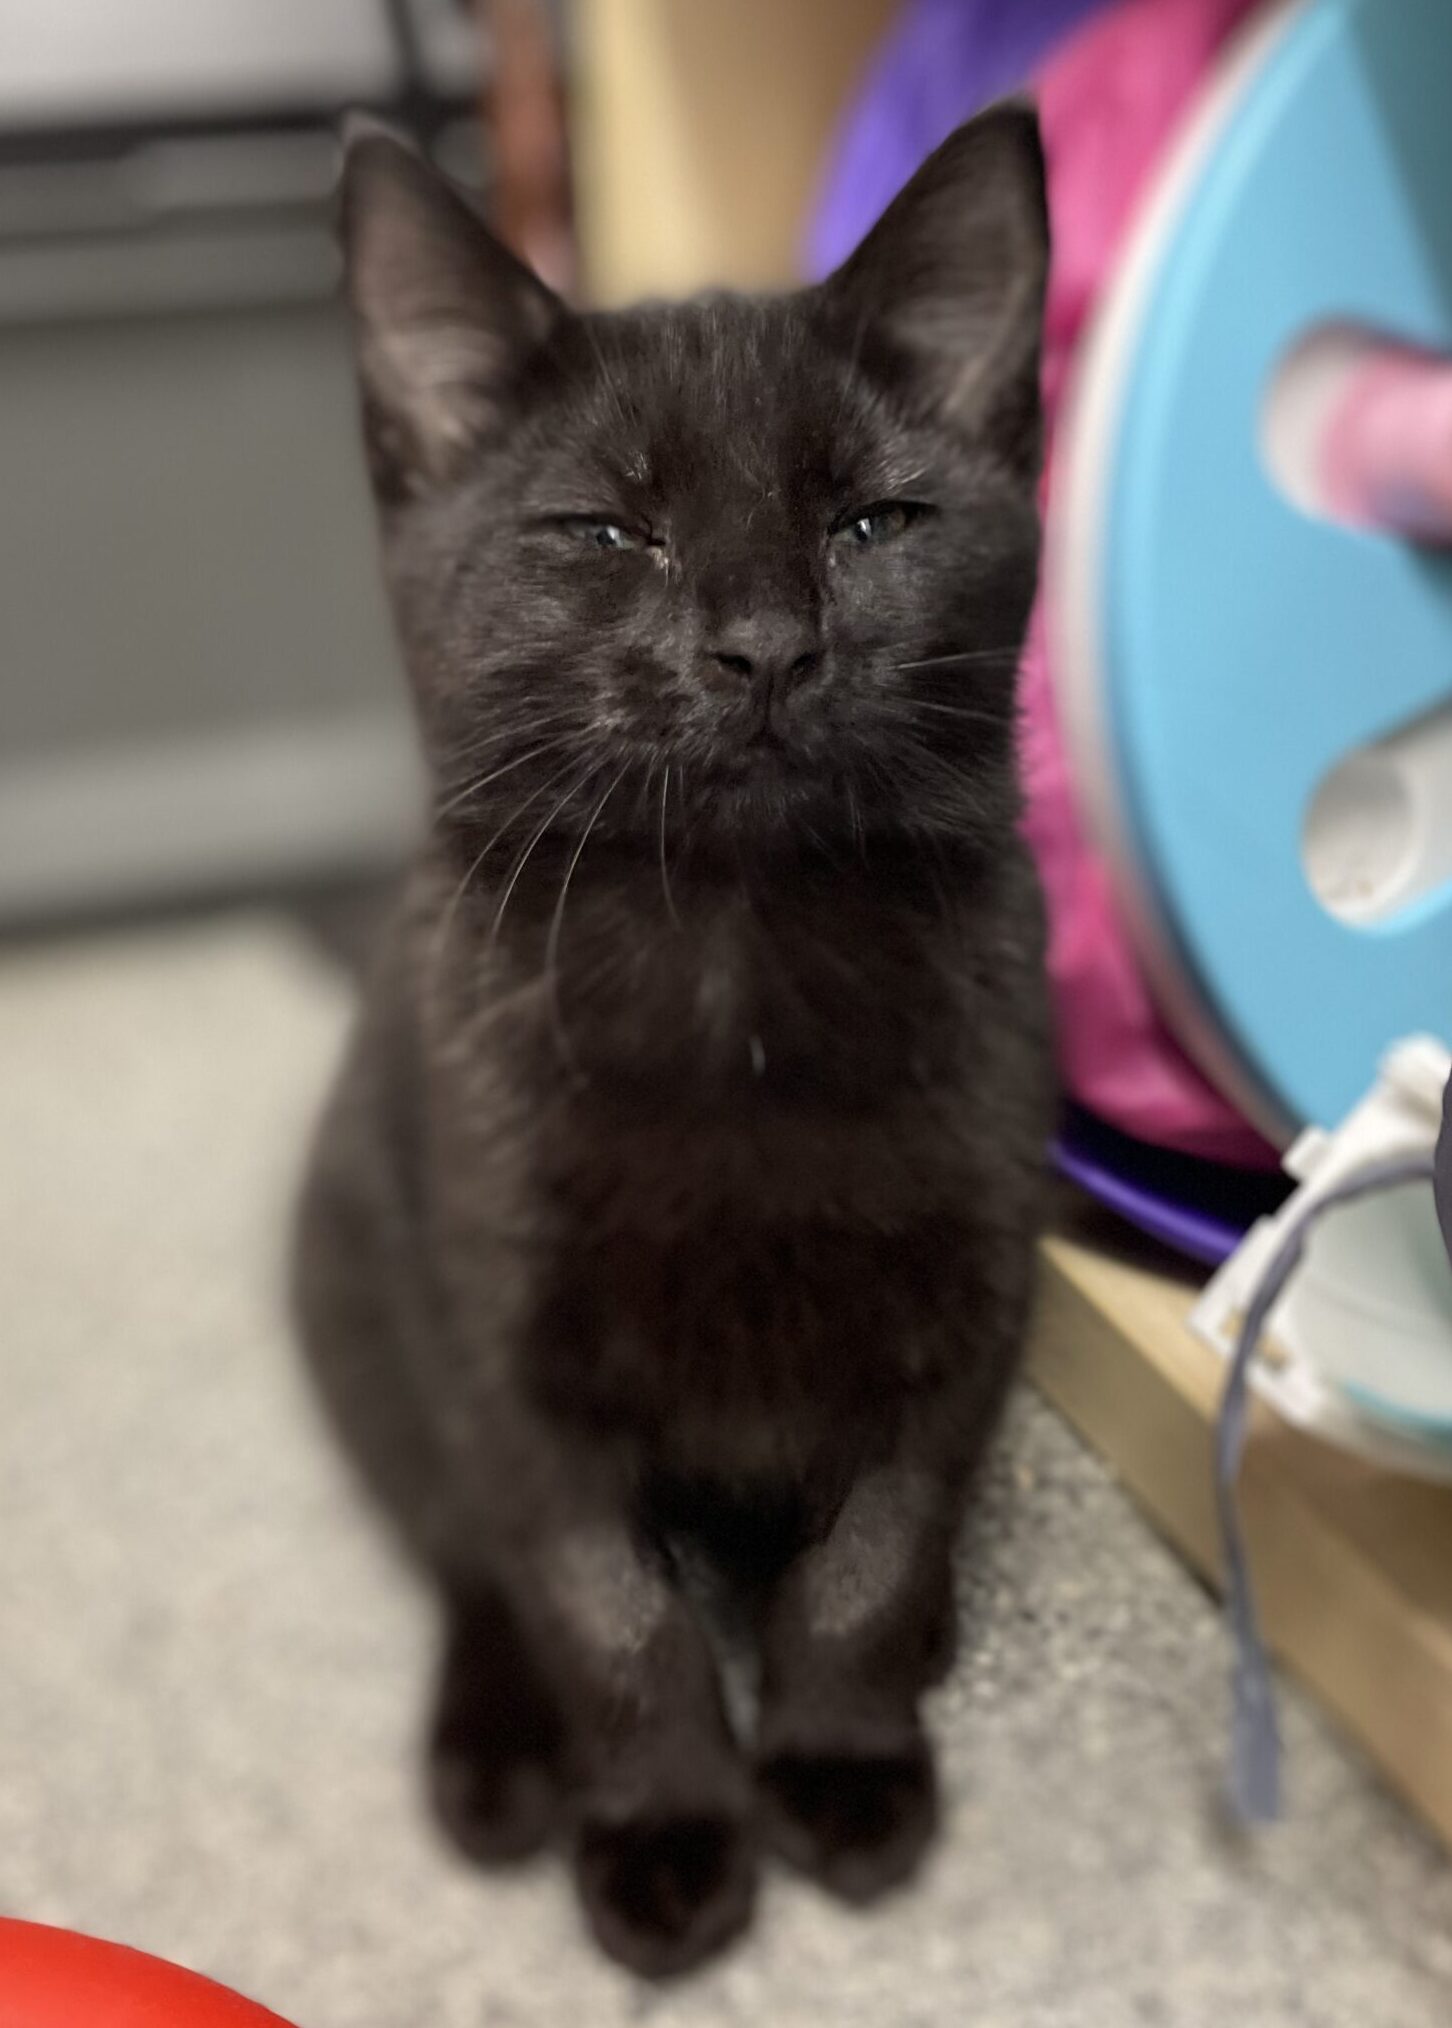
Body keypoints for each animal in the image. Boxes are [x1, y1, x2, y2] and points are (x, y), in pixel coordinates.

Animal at [294, 101, 1052, 1978]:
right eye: (599, 532)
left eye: (874, 521)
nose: (766, 645)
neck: (734, 961)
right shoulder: (511, 1342)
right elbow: (603, 1601)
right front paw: (664, 1828)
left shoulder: (969, 1291)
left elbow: (870, 1553)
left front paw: (842, 1754)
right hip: (355, 1282)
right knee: (461, 1549)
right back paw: (500, 1748)